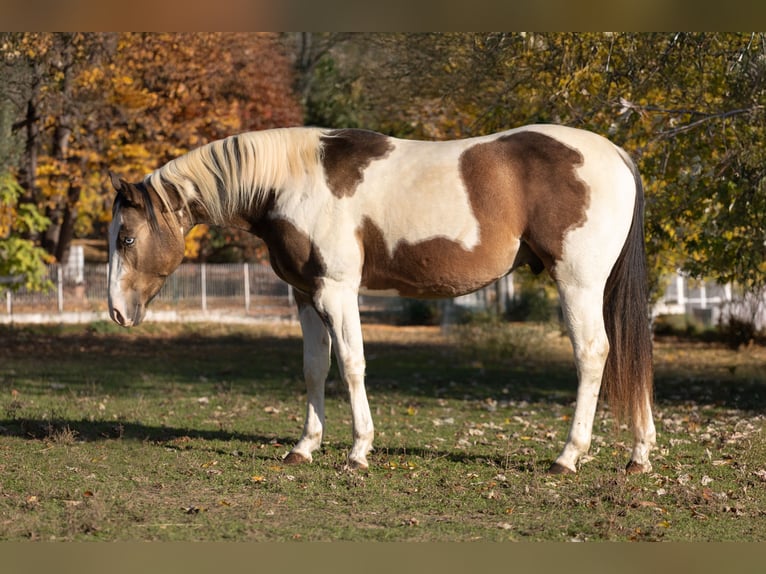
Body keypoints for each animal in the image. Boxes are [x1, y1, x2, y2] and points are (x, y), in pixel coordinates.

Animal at [107, 124, 656, 474]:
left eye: (127, 238)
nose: (116, 311)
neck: (291, 180)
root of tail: (617, 154)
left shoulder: (337, 291)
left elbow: (352, 365)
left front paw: (358, 451)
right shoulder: (305, 295)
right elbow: (314, 368)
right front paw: (304, 448)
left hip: (578, 283)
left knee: (593, 355)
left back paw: (568, 457)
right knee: (626, 356)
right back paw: (639, 455)